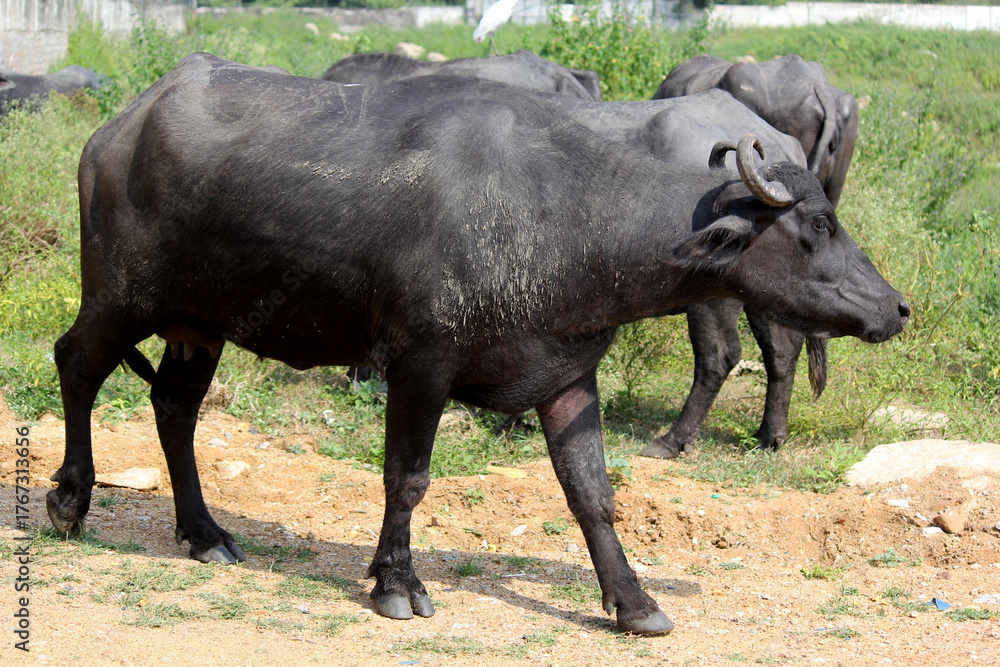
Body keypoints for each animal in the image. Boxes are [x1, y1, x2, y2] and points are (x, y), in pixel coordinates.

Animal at [49, 54, 907, 635]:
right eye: (820, 224)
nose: (897, 307)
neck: (560, 213)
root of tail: (118, 128)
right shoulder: (420, 364)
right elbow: (407, 479)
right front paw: (397, 583)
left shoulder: (566, 377)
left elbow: (593, 494)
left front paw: (634, 601)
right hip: (121, 296)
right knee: (76, 362)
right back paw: (68, 497)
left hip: (201, 326)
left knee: (173, 407)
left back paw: (205, 533)